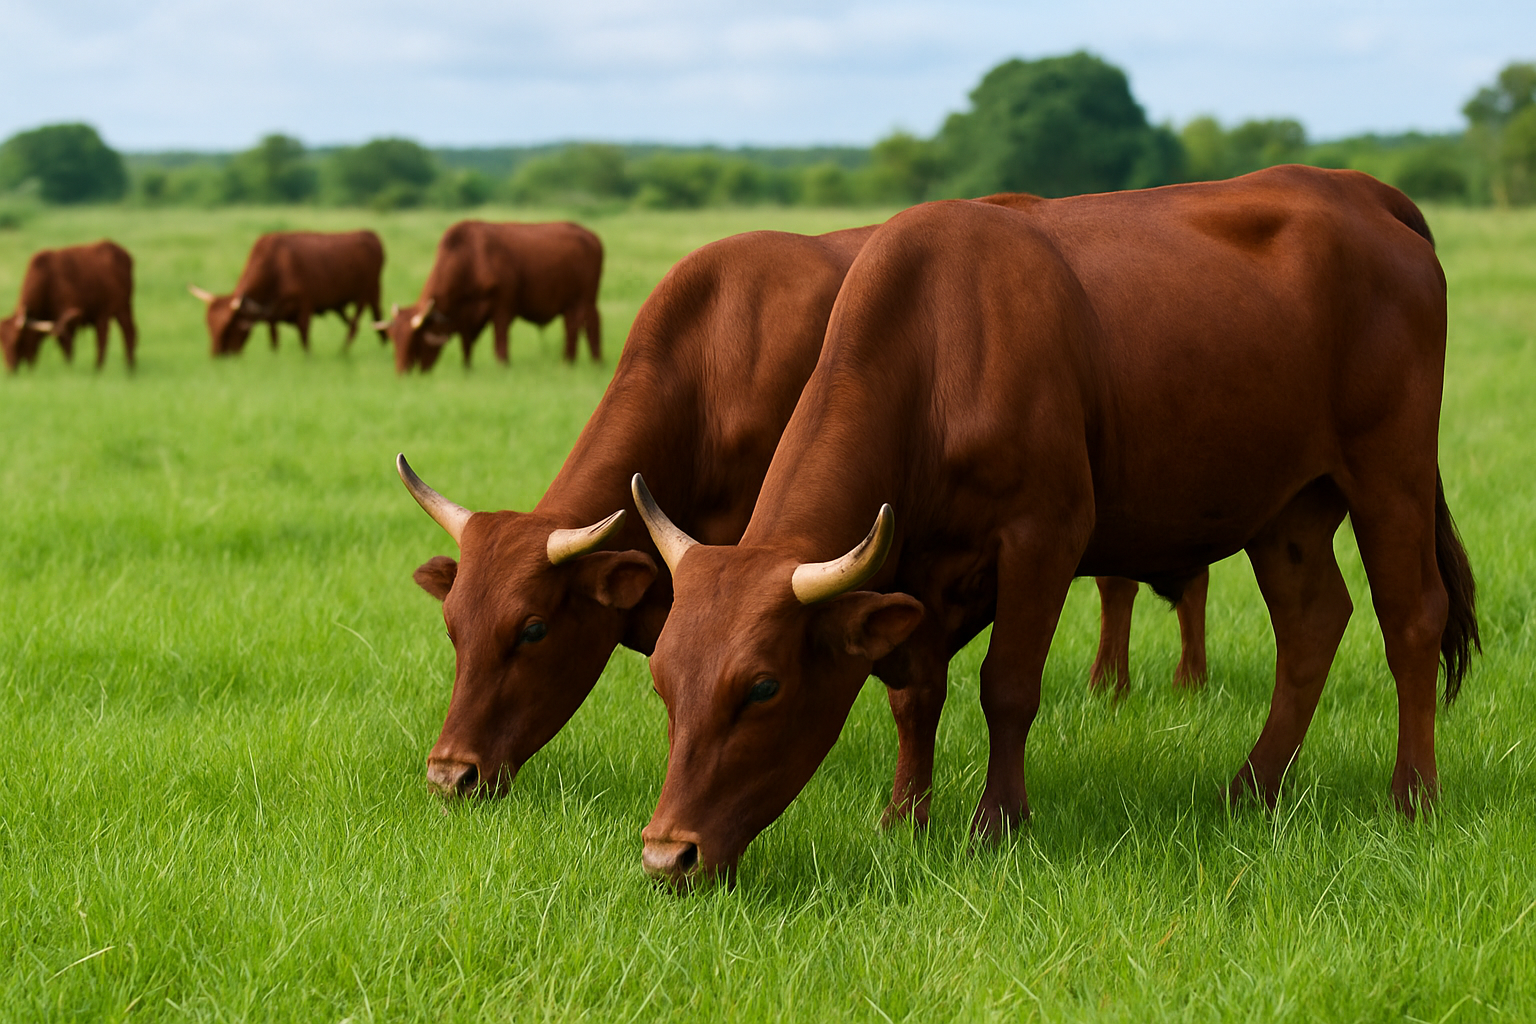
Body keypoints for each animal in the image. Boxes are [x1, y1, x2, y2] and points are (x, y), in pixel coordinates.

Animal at [2, 240, 136, 372]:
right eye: (2, 343)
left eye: (18, 341)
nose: (11, 369)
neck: (47, 280)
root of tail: (124, 254)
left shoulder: (68, 322)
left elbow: (67, 349)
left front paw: (69, 369)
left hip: (119, 310)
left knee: (122, 334)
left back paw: (118, 368)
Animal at [187, 230, 384, 356]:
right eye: (209, 325)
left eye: (229, 327)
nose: (217, 356)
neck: (275, 266)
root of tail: (370, 234)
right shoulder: (271, 314)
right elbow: (274, 339)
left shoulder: (305, 306)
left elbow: (304, 339)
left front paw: (307, 358)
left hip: (368, 294)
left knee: (358, 325)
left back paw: (345, 352)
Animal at [376, 220, 602, 374]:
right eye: (393, 340)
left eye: (414, 341)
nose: (401, 372)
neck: (470, 257)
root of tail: (591, 236)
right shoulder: (464, 316)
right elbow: (466, 344)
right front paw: (467, 369)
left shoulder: (503, 308)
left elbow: (500, 344)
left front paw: (504, 367)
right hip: (572, 304)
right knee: (573, 329)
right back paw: (571, 362)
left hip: (586, 300)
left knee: (590, 326)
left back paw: (591, 362)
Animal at [630, 165, 1480, 889]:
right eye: (663, 681)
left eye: (762, 687)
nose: (669, 855)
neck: (938, 347)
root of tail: (1360, 191)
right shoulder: (917, 571)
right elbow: (915, 696)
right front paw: (905, 819)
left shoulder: (1044, 535)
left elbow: (1006, 686)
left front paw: (996, 825)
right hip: (1287, 509)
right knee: (1312, 623)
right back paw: (1251, 789)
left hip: (1391, 472)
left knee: (1412, 619)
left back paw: (1412, 797)